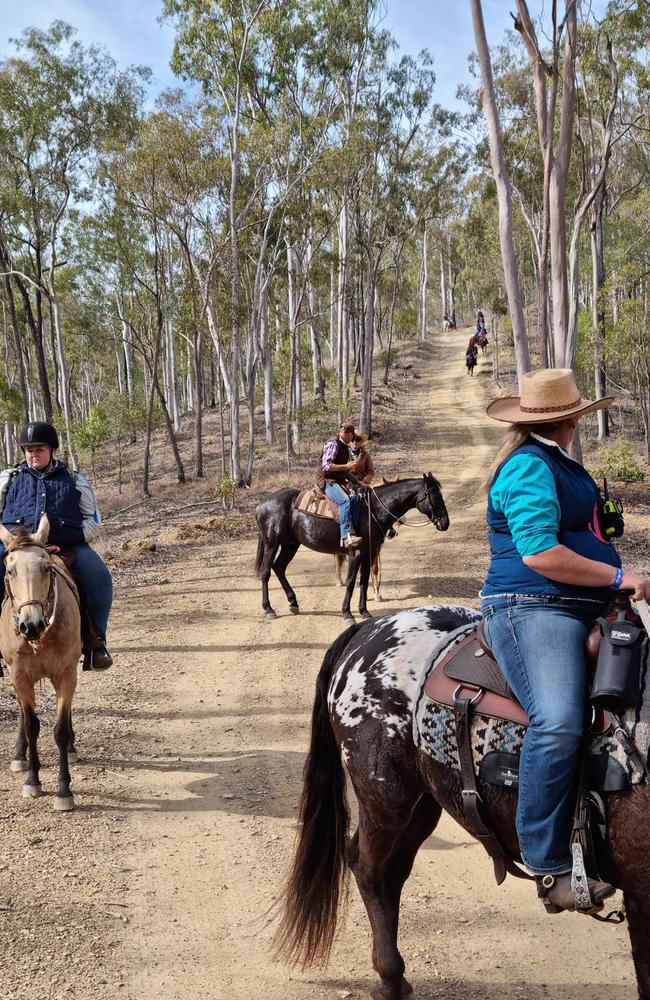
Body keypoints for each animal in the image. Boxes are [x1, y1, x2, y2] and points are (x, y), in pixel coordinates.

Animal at [0, 520, 81, 808]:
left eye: (45, 568)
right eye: (9, 570)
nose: (31, 625)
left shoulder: (66, 675)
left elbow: (60, 729)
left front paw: (64, 790)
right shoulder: (20, 677)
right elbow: (31, 725)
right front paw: (33, 781)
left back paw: (72, 749)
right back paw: (19, 756)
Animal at [256, 472, 448, 620]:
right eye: (435, 496)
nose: (445, 523)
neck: (371, 510)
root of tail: (261, 504)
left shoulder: (369, 553)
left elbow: (363, 581)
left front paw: (364, 611)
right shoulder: (355, 553)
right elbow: (350, 582)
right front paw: (347, 613)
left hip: (290, 544)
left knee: (279, 568)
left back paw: (293, 602)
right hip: (271, 543)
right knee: (266, 572)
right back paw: (269, 609)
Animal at [274, 600, 650, 1000]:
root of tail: (368, 631)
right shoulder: (641, 892)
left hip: (423, 804)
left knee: (393, 871)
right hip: (386, 800)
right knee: (367, 867)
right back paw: (390, 977)